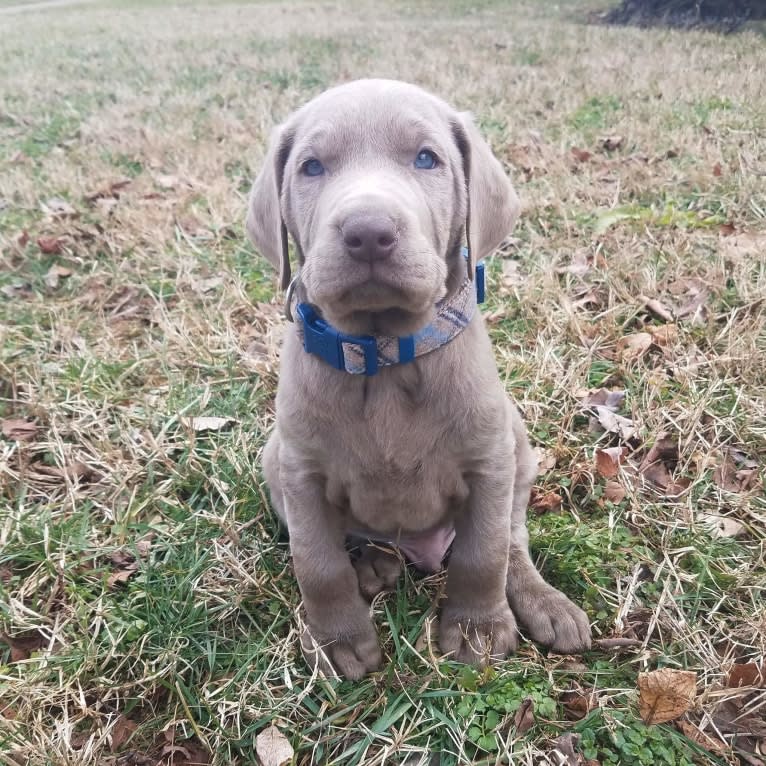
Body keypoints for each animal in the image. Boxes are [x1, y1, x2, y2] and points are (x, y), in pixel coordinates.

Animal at [248, 76, 592, 680]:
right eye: (311, 167)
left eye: (427, 158)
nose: (367, 232)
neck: (384, 353)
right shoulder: (300, 473)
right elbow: (317, 563)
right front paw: (338, 639)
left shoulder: (489, 461)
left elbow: (483, 553)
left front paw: (478, 629)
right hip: (273, 456)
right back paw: (371, 564)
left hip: (518, 442)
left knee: (512, 539)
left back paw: (543, 602)